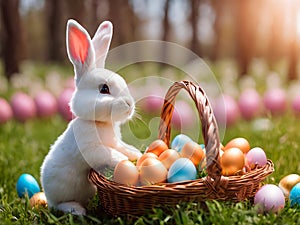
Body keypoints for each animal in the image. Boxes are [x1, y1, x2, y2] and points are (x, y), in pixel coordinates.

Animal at [40, 18, 142, 214]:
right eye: (104, 89)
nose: (129, 105)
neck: (101, 123)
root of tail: (47, 198)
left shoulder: (116, 142)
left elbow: (122, 147)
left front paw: (136, 154)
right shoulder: (91, 149)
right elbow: (109, 153)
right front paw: (124, 160)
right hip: (60, 194)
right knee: (60, 205)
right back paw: (76, 210)